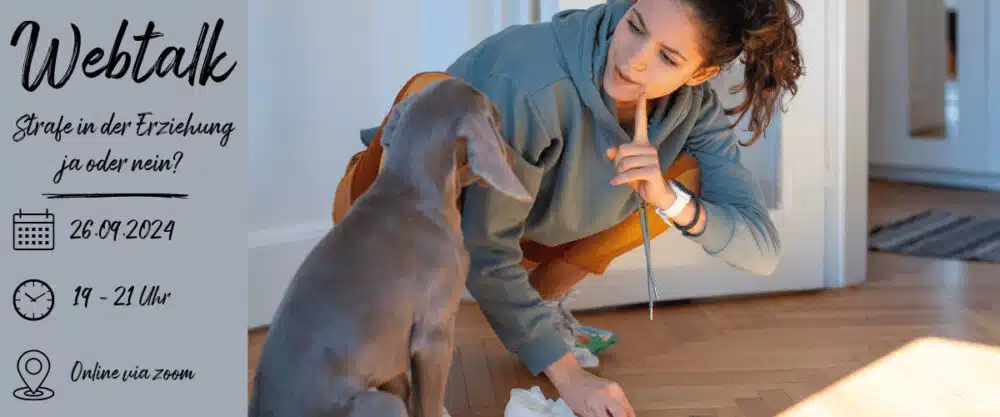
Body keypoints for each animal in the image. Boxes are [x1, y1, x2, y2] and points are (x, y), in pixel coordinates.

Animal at [247, 75, 536, 416]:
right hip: (380, 402)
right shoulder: (433, 334)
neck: (409, 189)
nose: (517, 160)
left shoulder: (391, 353)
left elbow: (409, 390)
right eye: (498, 122)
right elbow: (429, 403)